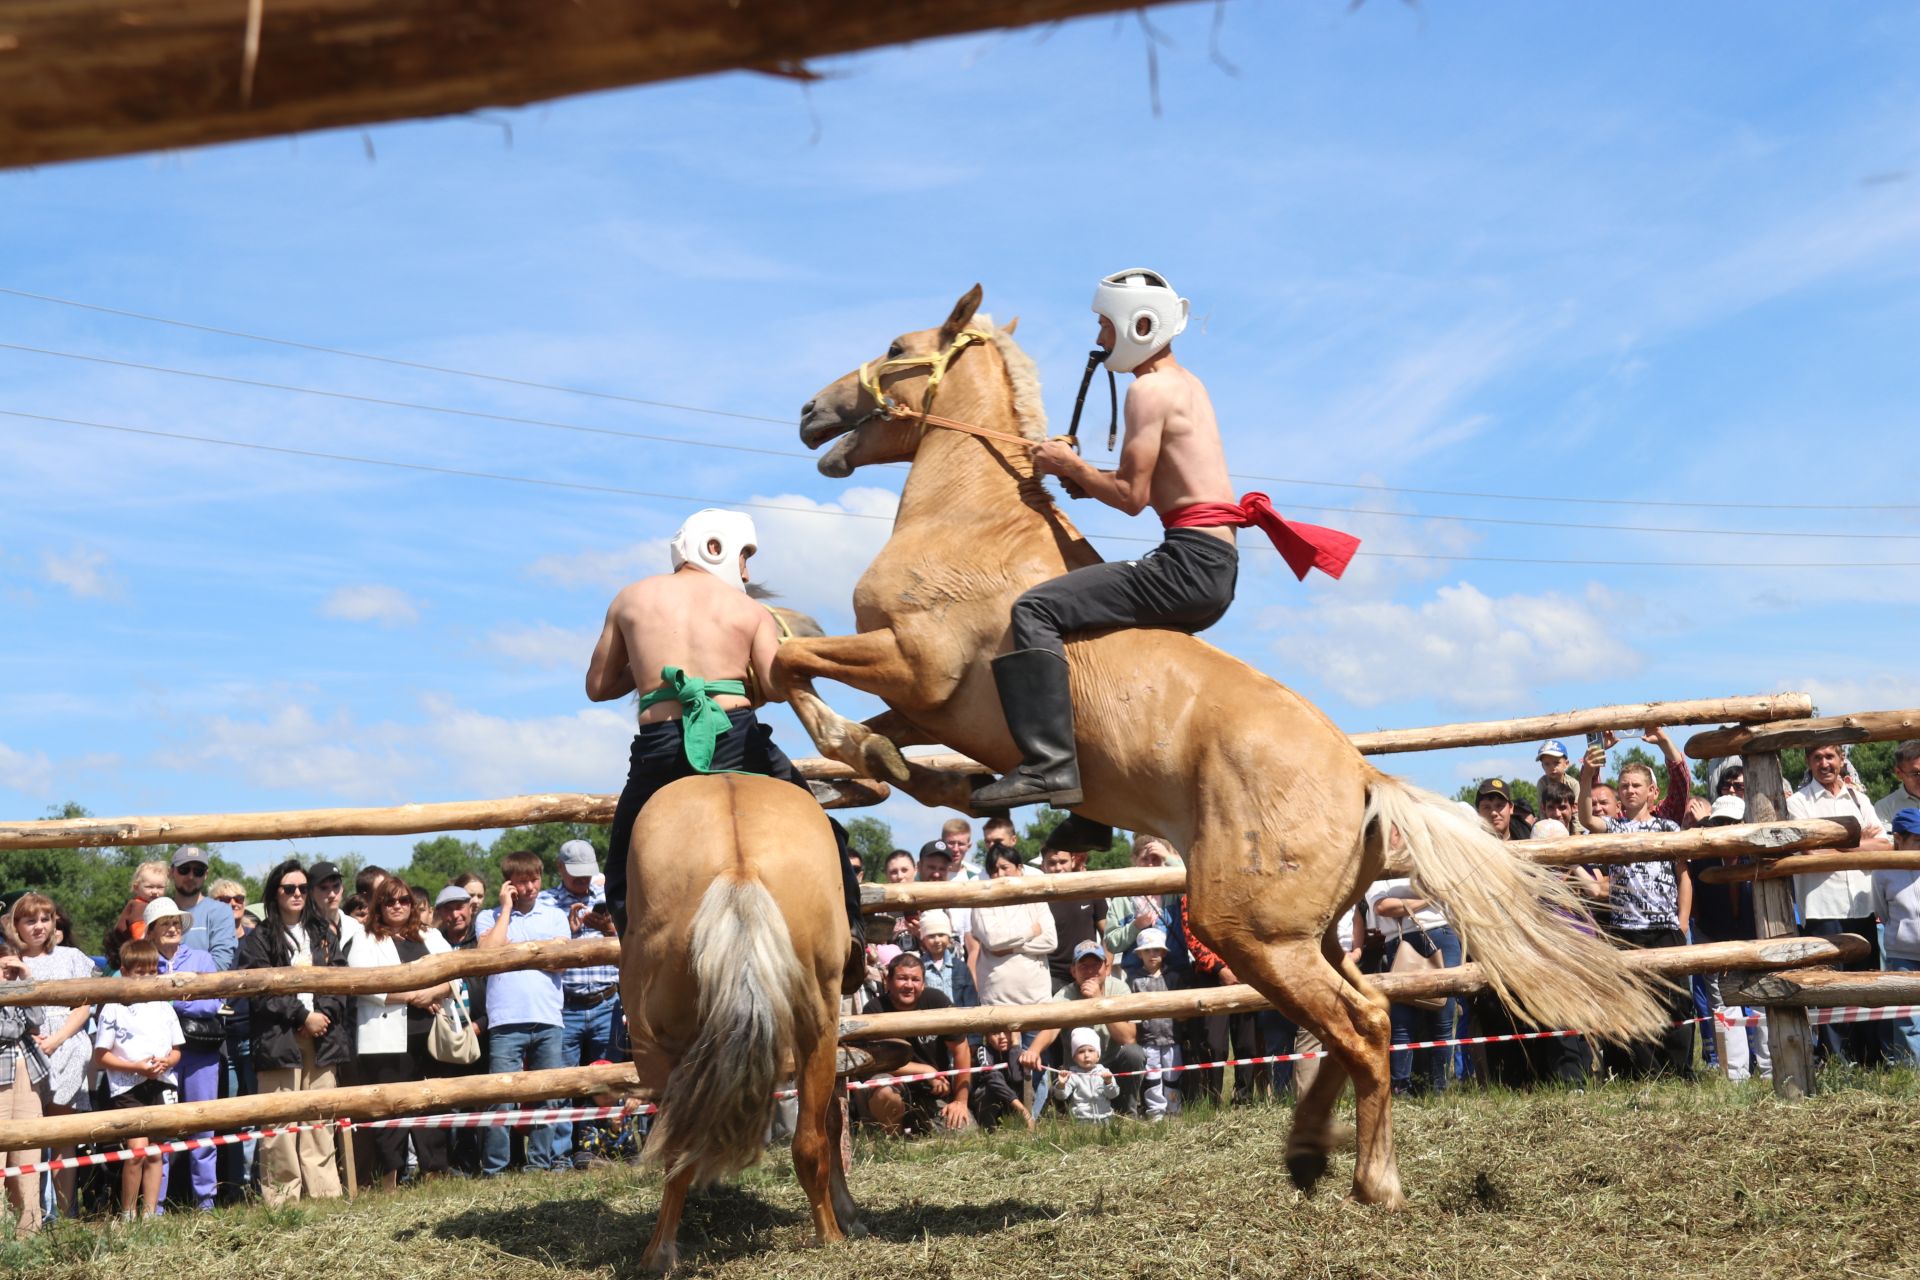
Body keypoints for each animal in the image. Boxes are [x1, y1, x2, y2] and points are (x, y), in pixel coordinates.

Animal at [625, 771, 860, 1274]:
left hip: (663, 1041)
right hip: (819, 1024)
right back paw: (830, 1234)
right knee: (811, 1139)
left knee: (680, 1148)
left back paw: (659, 1253)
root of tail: (739, 869)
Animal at [771, 285, 1674, 1205]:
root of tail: (1363, 777)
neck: (973, 520)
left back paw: (1371, 1179)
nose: (809, 411)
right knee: (1356, 1020)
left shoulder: (910, 665)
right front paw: (868, 774)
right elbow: (868, 739)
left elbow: (786, 657)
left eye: (896, 346)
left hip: (1248, 930)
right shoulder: (926, 708)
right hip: (1304, 934)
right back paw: (1311, 1150)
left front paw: (858, 745)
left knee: (1361, 1024)